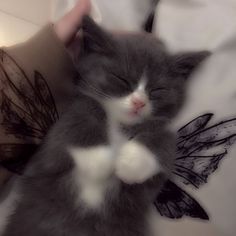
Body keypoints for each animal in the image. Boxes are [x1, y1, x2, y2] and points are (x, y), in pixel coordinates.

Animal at [1, 17, 208, 236]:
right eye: (122, 79)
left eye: (157, 89)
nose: (139, 102)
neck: (120, 124)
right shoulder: (50, 151)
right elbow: (79, 117)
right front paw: (96, 159)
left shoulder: (146, 188)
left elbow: (166, 140)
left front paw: (133, 162)